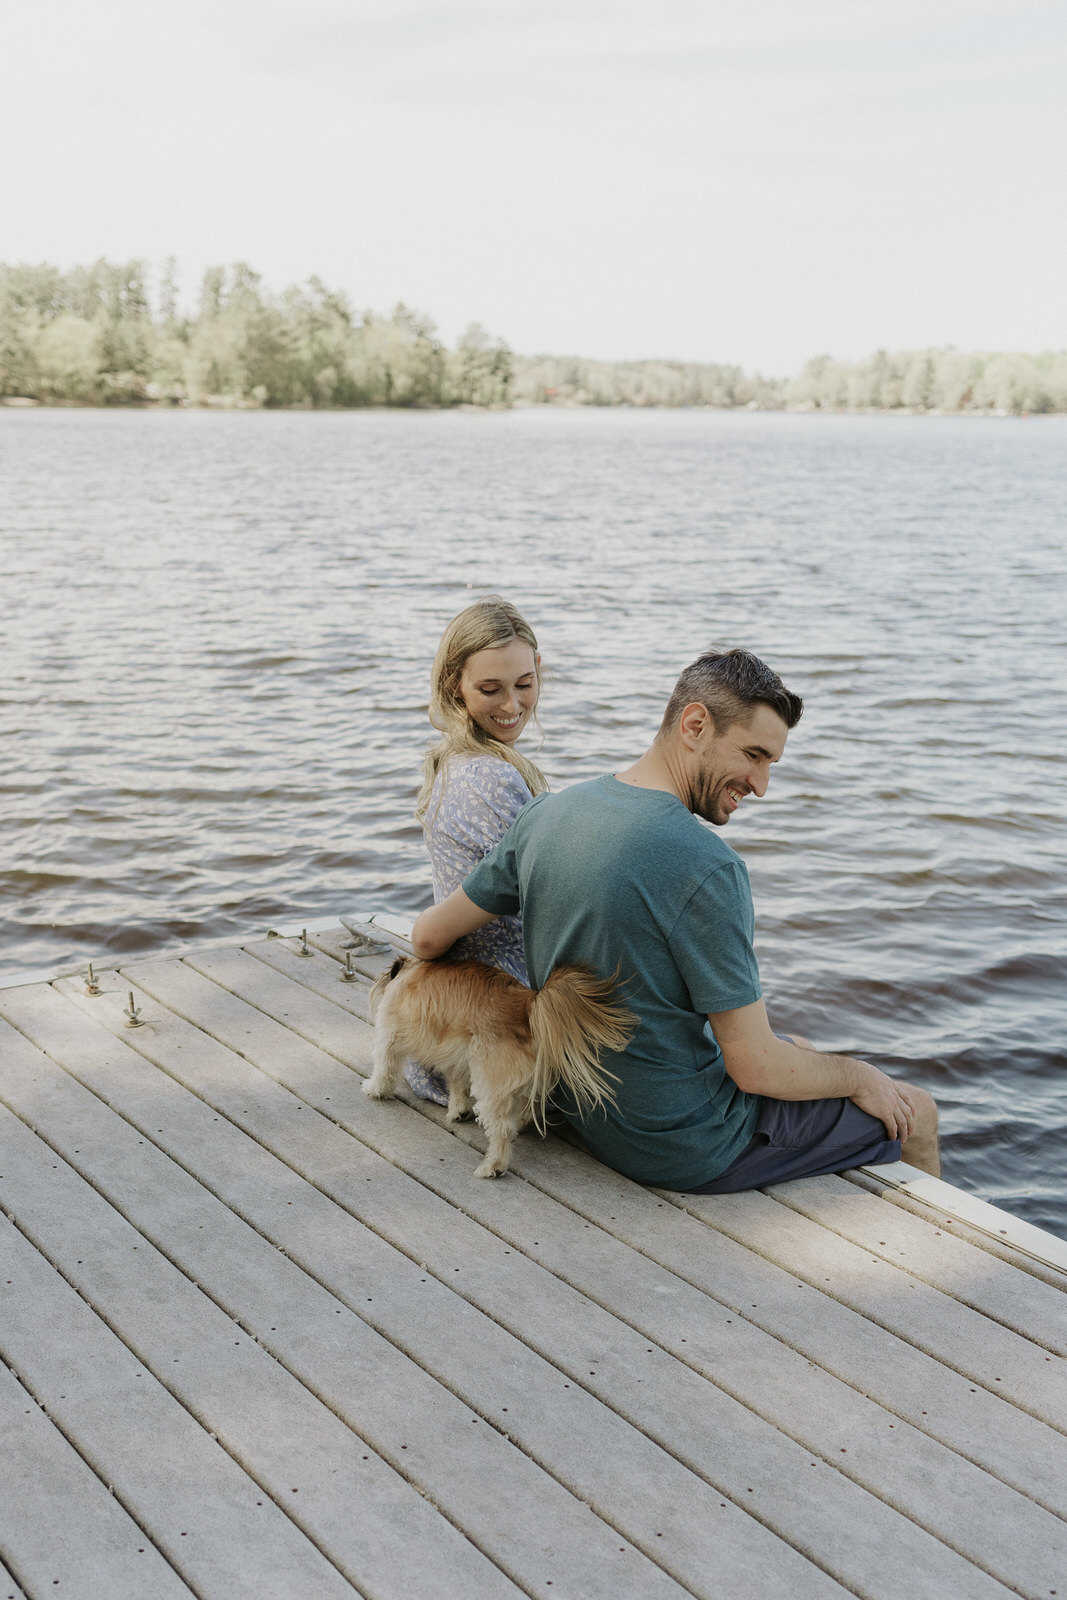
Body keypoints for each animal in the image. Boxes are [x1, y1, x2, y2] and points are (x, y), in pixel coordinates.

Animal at [367, 953, 633, 1184]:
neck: (410, 972)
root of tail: (526, 1004)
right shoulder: (459, 1054)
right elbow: (457, 1083)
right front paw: (459, 1109)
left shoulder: (389, 1035)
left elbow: (384, 1067)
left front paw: (375, 1089)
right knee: (529, 1102)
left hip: (490, 1084)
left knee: (501, 1129)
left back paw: (493, 1166)